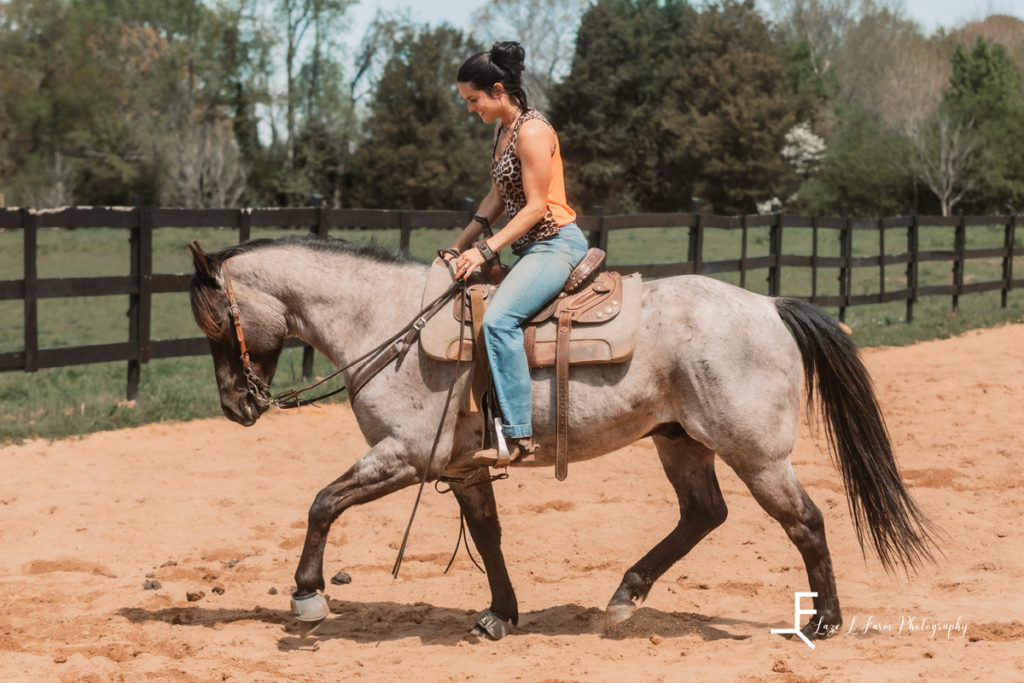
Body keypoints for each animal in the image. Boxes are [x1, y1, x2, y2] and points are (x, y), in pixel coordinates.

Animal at [186, 233, 937, 643]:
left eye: (215, 322)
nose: (236, 406)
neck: (387, 321)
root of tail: (771, 306)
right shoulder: (462, 466)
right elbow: (487, 536)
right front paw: (500, 614)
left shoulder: (405, 456)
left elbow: (322, 503)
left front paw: (308, 596)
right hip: (680, 441)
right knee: (704, 513)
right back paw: (626, 597)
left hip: (757, 455)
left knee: (805, 522)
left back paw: (824, 622)